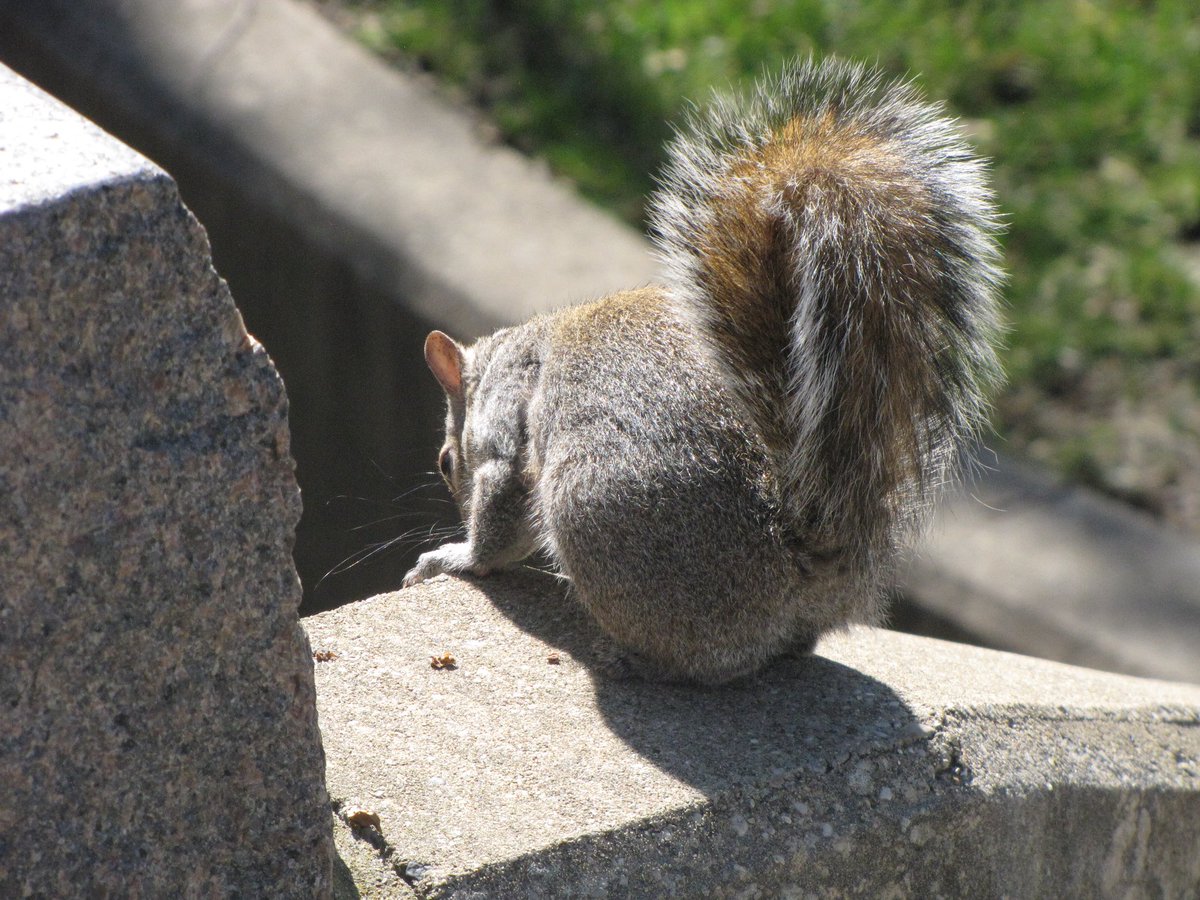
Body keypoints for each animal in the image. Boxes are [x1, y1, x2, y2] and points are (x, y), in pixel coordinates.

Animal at [403, 57, 1003, 685]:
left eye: (445, 462)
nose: (455, 507)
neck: (510, 350)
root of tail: (802, 576)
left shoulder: (508, 418)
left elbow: (501, 506)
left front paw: (457, 557)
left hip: (593, 512)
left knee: (700, 660)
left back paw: (631, 659)